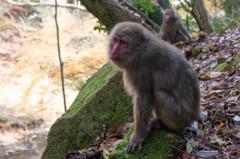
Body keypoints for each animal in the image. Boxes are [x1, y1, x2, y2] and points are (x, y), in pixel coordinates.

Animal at [108, 21, 200, 153]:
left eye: (123, 43)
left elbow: (144, 98)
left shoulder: (141, 68)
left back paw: (170, 127)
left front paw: (138, 137)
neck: (139, 50)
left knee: (160, 95)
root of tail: (196, 115)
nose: (114, 51)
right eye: (115, 40)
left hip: (182, 116)